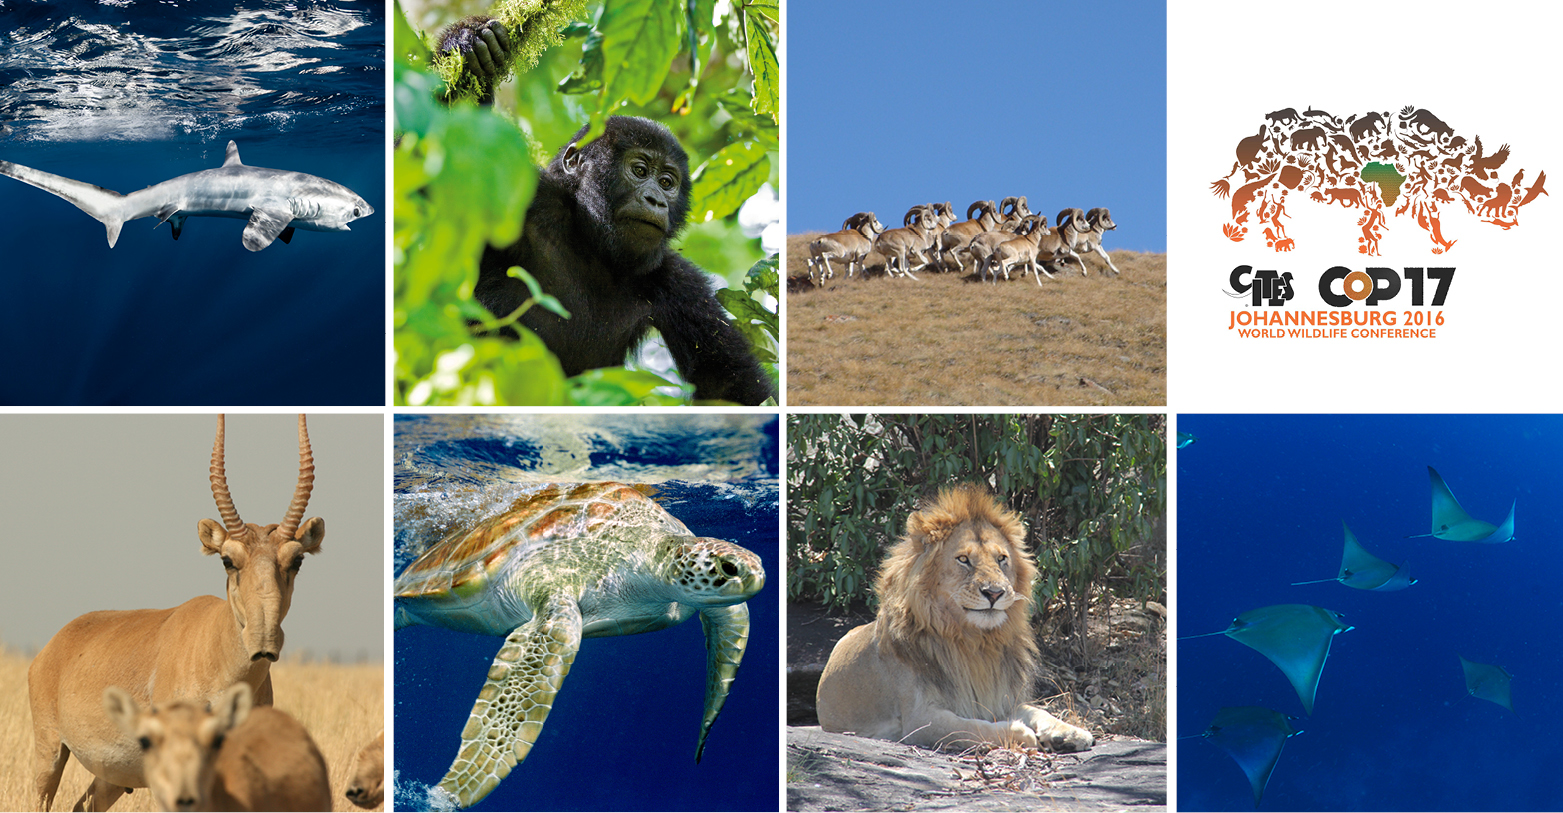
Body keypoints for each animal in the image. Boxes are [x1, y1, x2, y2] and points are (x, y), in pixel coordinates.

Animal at [815, 484, 1095, 752]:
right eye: (963, 559)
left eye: (1001, 559)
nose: (995, 593)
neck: (976, 643)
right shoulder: (920, 720)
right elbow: (972, 727)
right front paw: (1020, 733)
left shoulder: (999, 698)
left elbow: (1038, 711)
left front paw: (1070, 733)